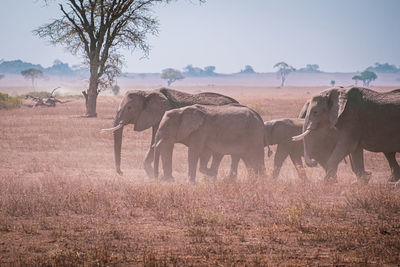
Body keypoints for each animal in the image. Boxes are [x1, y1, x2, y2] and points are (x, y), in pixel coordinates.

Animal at [101, 88, 238, 177]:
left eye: (129, 108)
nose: (121, 172)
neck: (148, 92)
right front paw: (152, 175)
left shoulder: (163, 115)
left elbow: (159, 143)